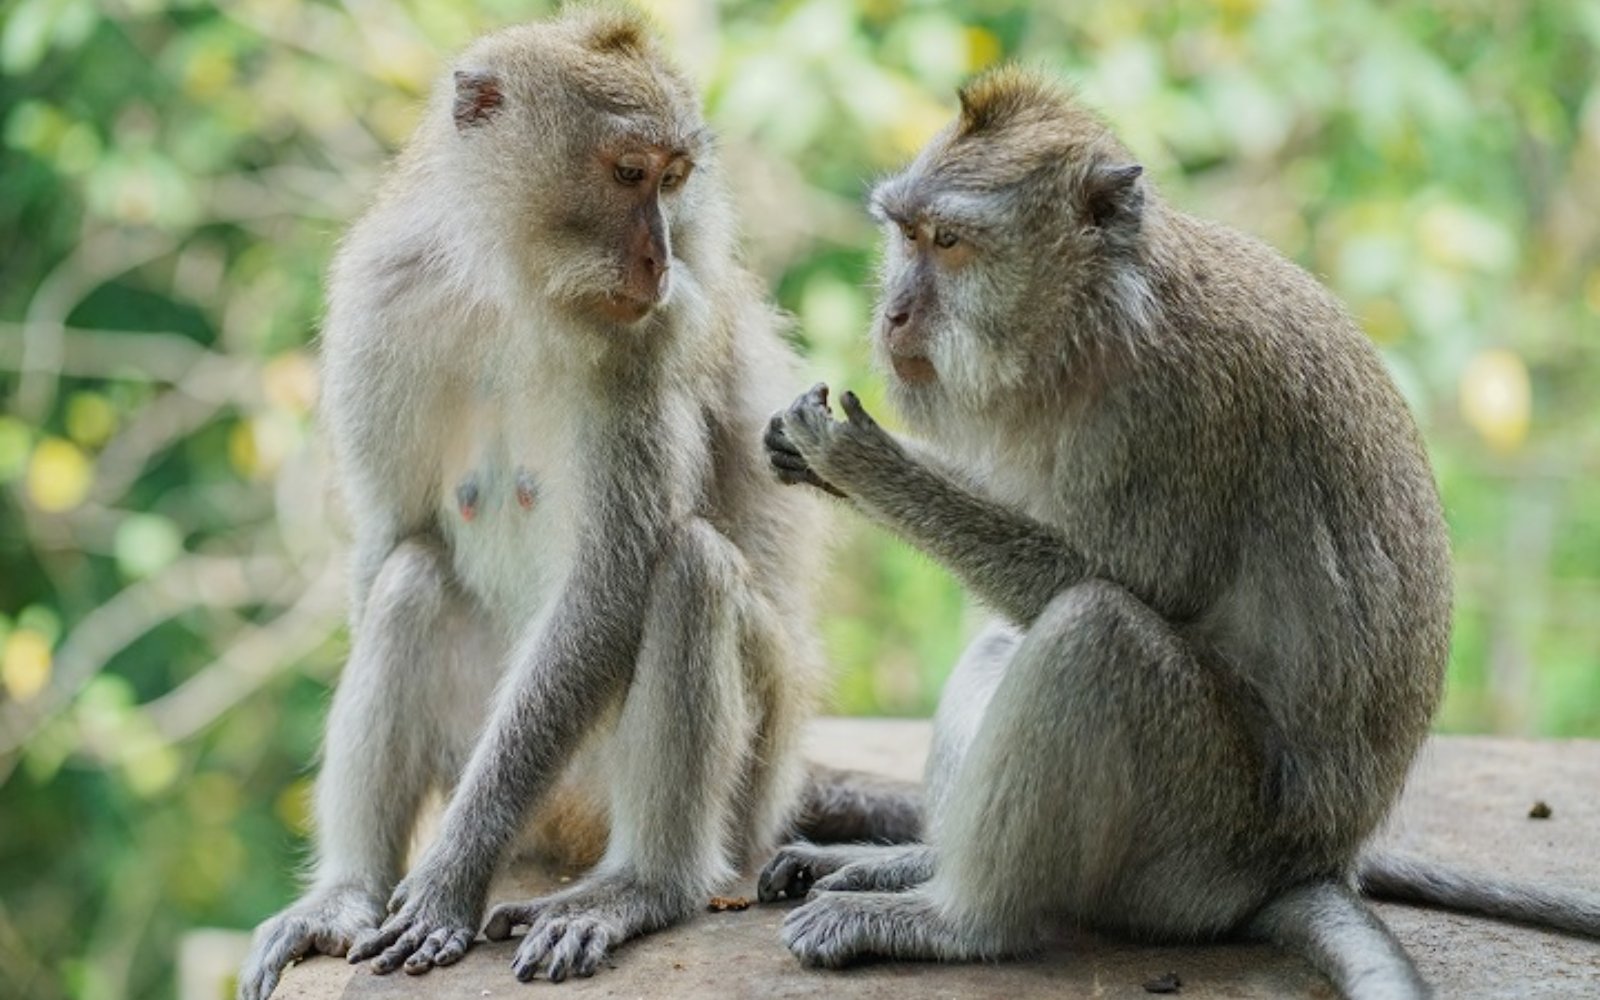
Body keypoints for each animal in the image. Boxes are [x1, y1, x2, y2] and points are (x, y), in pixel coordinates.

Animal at [233, 10, 921, 999]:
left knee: (688, 571)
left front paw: (448, 875)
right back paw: (348, 893)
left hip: (738, 782)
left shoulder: (646, 343)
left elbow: (611, 579)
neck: (511, 288)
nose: (660, 256)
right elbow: (392, 535)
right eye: (629, 173)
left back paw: (642, 886)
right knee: (410, 579)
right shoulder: (381, 302)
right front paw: (390, 876)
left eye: (674, 180)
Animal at [756, 68, 1600, 998]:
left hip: (1192, 849)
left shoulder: (1175, 413)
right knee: (1012, 640)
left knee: (1094, 631)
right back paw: (906, 866)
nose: (896, 314)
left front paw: (863, 464)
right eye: (905, 235)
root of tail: (1306, 868)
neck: (1099, 323)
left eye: (948, 242)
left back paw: (960, 920)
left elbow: (1133, 590)